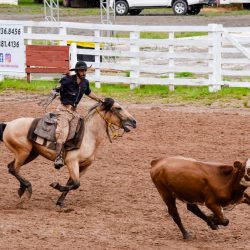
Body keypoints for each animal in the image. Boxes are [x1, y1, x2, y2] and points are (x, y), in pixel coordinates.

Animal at [0, 98, 137, 208]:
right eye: (118, 108)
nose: (134, 122)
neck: (89, 135)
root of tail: (8, 124)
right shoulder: (72, 162)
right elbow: (76, 184)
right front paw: (56, 185)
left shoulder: (84, 166)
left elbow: (72, 183)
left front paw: (60, 202)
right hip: (23, 152)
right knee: (14, 169)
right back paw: (27, 189)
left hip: (31, 154)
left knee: (11, 167)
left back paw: (22, 190)